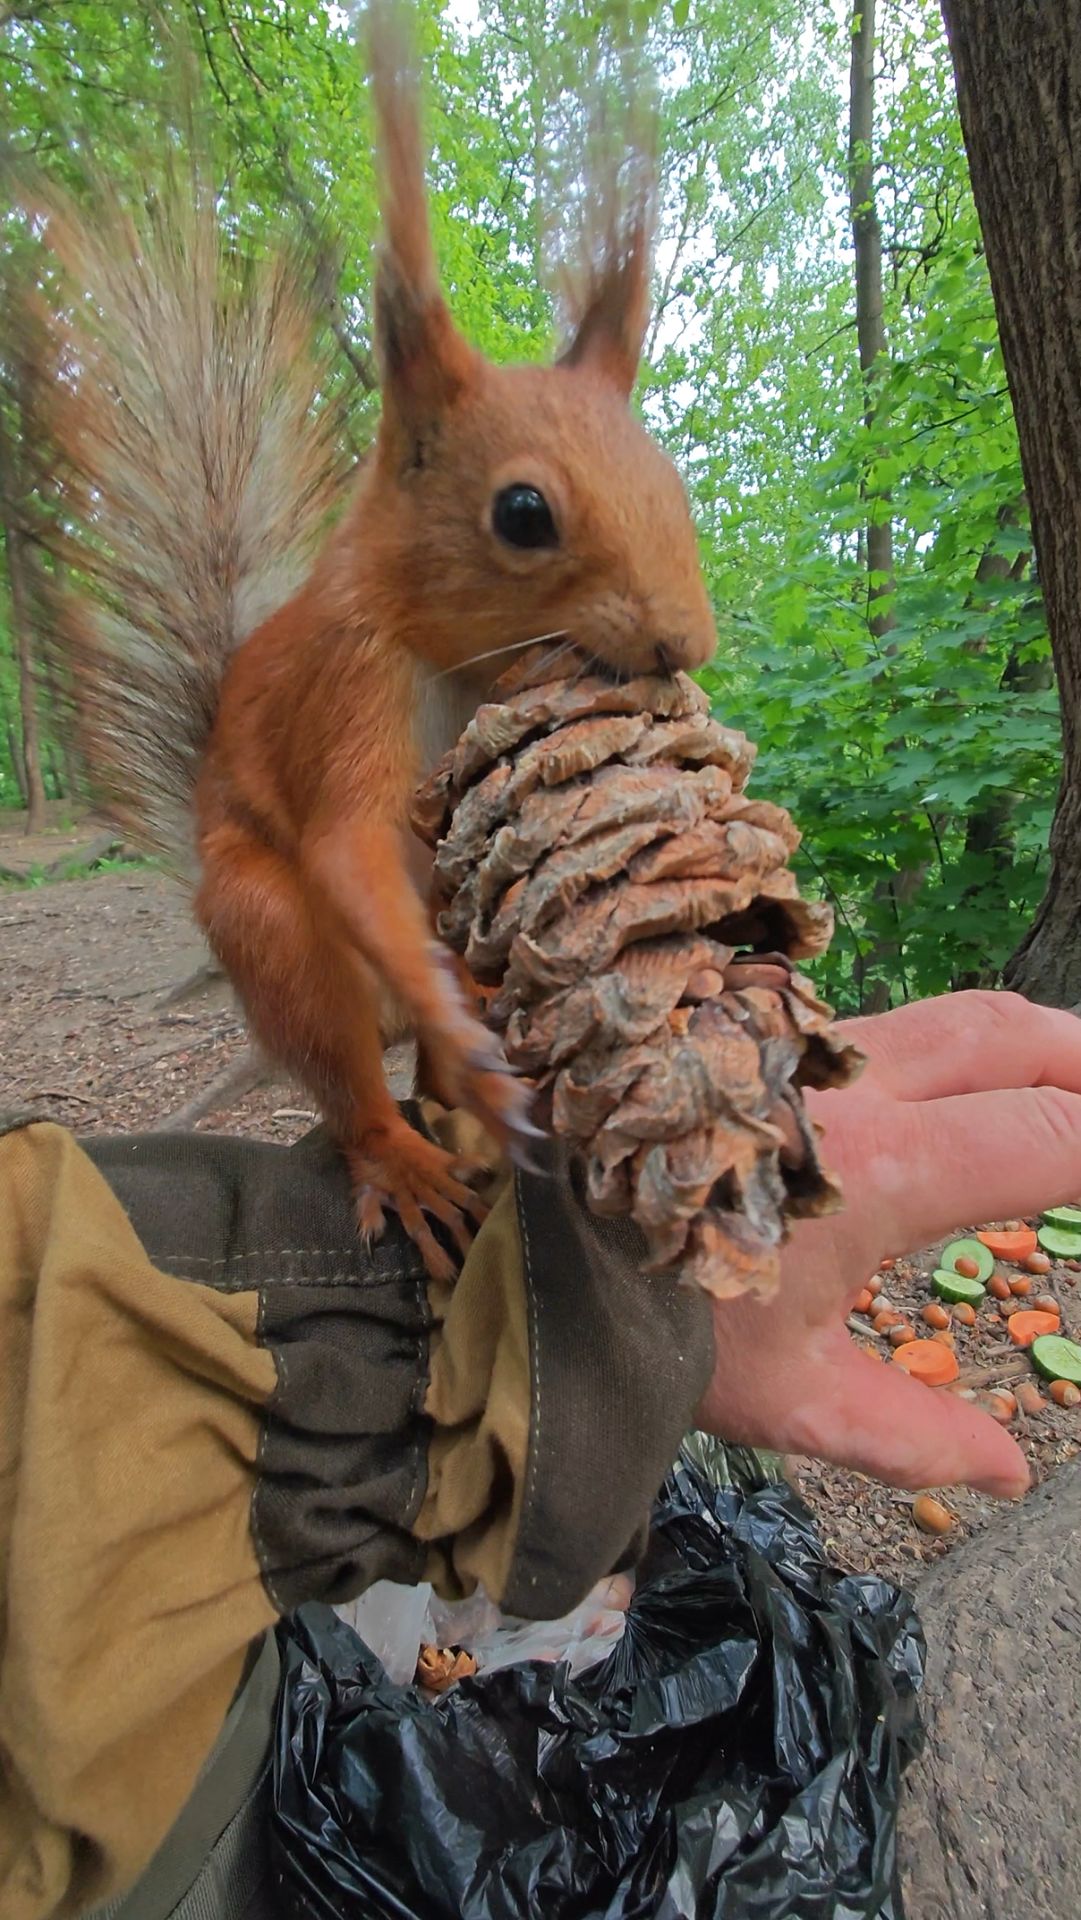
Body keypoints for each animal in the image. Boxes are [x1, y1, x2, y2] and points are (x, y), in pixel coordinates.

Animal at [32, 0, 717, 1280]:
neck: (448, 659)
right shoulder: (349, 684)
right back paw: (409, 1143)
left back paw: (464, 1092)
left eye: (673, 484)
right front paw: (469, 1041)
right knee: (346, 1077)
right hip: (272, 940)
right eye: (522, 513)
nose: (683, 645)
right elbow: (348, 846)